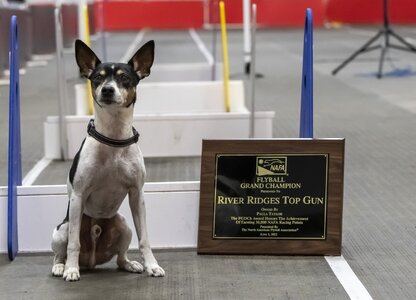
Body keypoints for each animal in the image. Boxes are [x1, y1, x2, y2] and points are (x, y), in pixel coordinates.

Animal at [50, 39, 164, 282]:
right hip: (62, 229)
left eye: (124, 78)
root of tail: (92, 259)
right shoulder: (78, 196)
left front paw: (152, 265)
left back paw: (131, 264)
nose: (107, 89)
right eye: (97, 78)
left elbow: (144, 239)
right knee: (60, 252)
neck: (114, 139)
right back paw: (62, 267)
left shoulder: (137, 195)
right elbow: (74, 243)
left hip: (124, 226)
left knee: (120, 257)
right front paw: (71, 270)